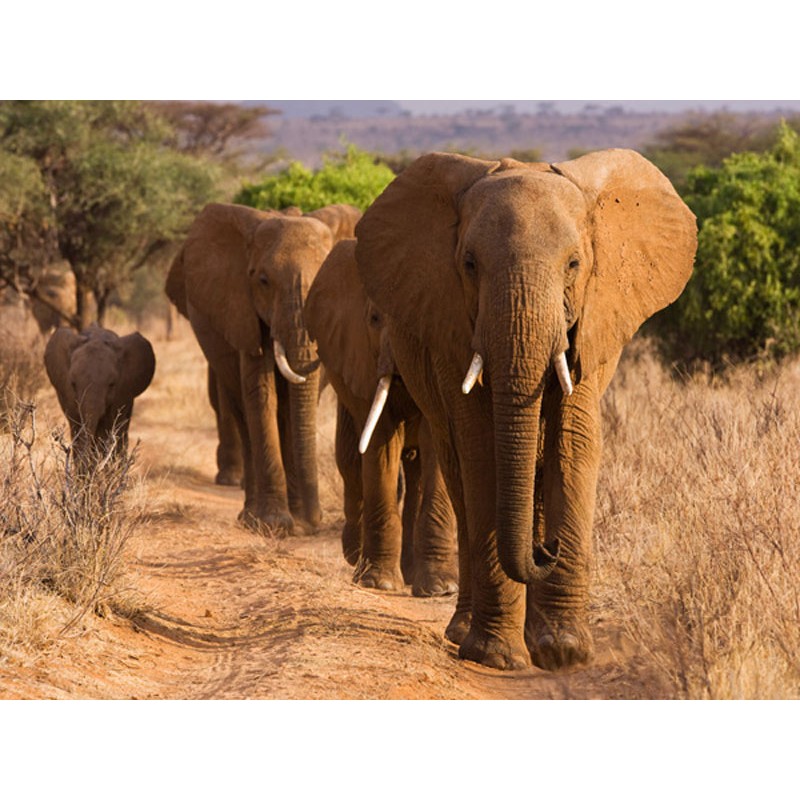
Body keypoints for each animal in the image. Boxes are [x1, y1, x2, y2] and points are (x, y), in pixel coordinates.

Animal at [44, 324, 156, 466]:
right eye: (73, 384)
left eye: (112, 384)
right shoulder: (67, 395)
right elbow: (76, 426)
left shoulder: (121, 393)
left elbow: (109, 428)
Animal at [167, 203, 360, 536]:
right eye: (264, 281)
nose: (316, 521)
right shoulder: (243, 312)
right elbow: (261, 394)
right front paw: (274, 524)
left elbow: (297, 402)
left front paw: (299, 524)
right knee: (242, 413)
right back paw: (249, 517)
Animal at [304, 241, 456, 596]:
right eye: (374, 318)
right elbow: (379, 444)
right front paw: (379, 583)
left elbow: (435, 441)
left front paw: (441, 589)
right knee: (349, 460)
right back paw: (356, 556)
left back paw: (411, 574)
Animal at [354, 148, 696, 668]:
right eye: (469, 264)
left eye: (574, 264)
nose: (548, 548)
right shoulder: (452, 325)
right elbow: (481, 451)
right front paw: (497, 657)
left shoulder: (592, 321)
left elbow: (573, 444)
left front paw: (563, 653)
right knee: (459, 475)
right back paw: (464, 633)